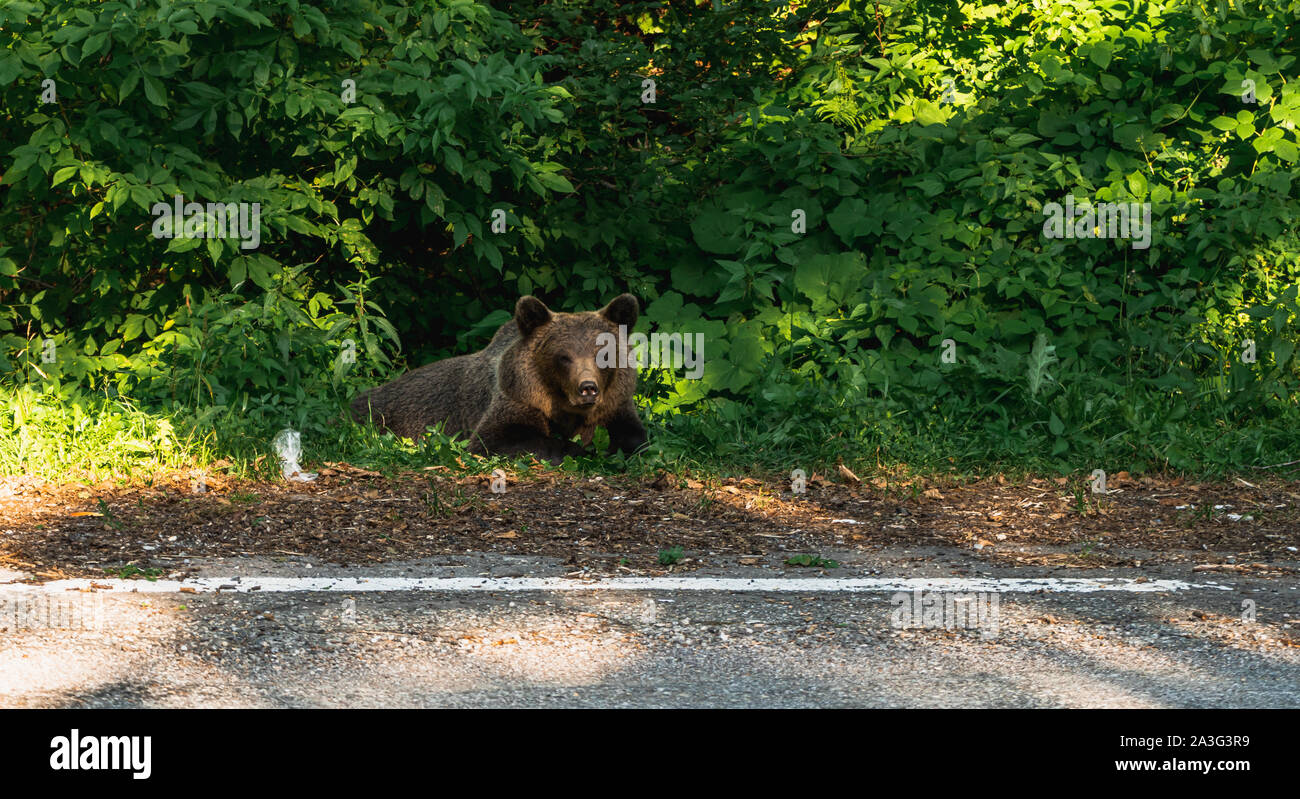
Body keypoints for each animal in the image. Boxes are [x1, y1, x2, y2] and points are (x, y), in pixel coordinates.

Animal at [348, 293, 647, 462]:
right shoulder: (517, 399)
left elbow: (634, 436)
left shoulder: (614, 404)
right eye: (564, 356)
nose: (587, 388)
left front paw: (610, 447)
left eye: (603, 354)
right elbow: (496, 439)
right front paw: (577, 449)